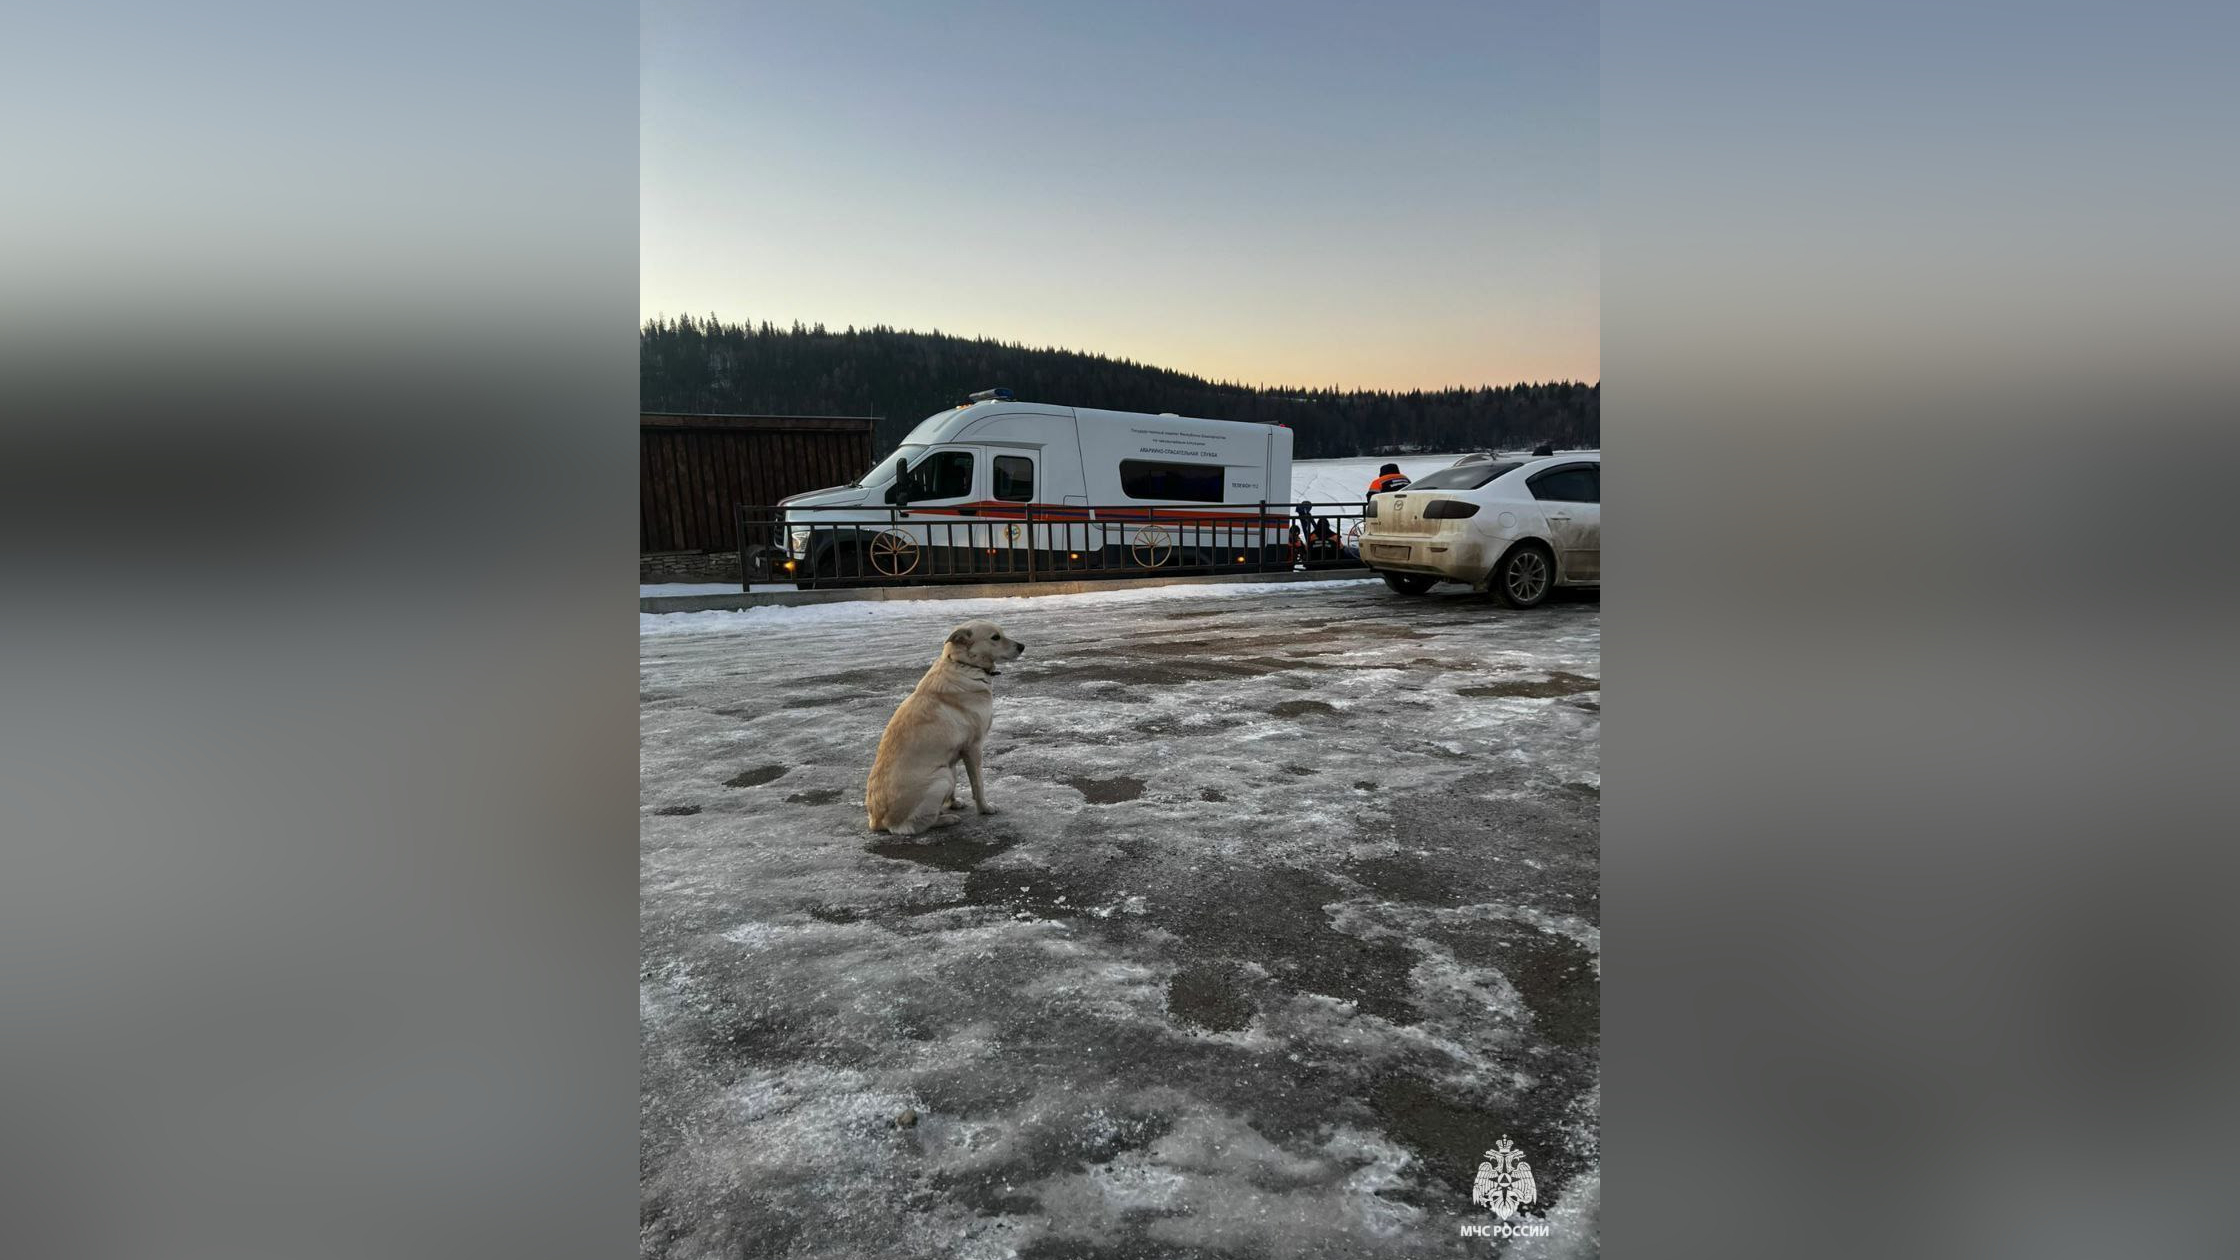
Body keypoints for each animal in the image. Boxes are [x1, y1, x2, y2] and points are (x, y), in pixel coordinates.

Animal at [864, 618, 1025, 834]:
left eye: (1002, 633)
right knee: (914, 825)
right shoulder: (974, 747)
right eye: (995, 637)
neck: (964, 664)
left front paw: (953, 802)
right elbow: (978, 785)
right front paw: (984, 808)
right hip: (942, 777)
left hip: (946, 771)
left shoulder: (954, 754)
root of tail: (877, 821)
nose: (1022, 646)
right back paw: (946, 819)